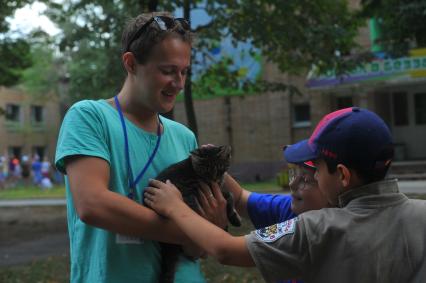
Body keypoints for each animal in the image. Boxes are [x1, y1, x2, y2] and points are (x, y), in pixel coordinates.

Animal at [153, 146, 240, 283]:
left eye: (220, 168)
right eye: (205, 170)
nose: (213, 179)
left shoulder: (218, 190)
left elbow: (230, 195)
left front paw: (234, 217)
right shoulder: (186, 191)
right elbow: (194, 210)